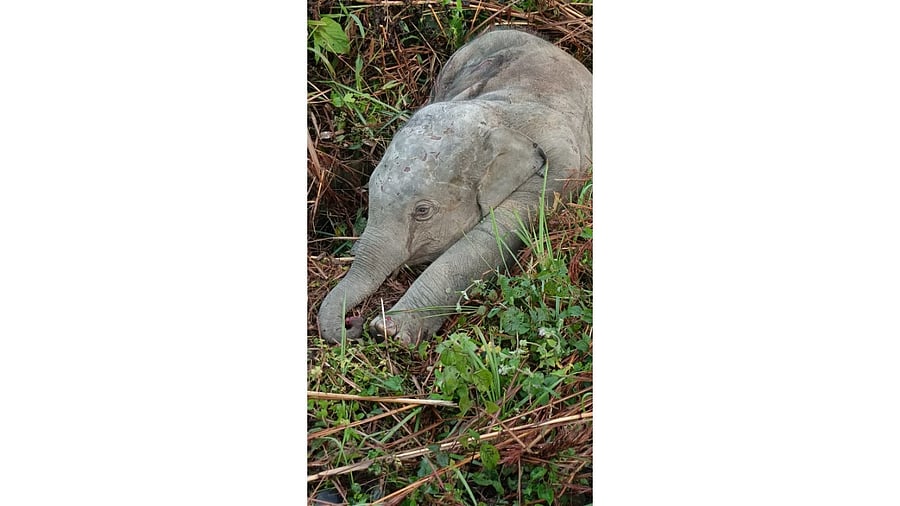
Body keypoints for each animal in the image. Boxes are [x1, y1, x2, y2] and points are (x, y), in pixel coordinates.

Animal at [317, 28, 592, 345]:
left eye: (423, 211)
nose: (353, 323)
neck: (499, 115)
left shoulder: (557, 171)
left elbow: (488, 239)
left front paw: (390, 330)